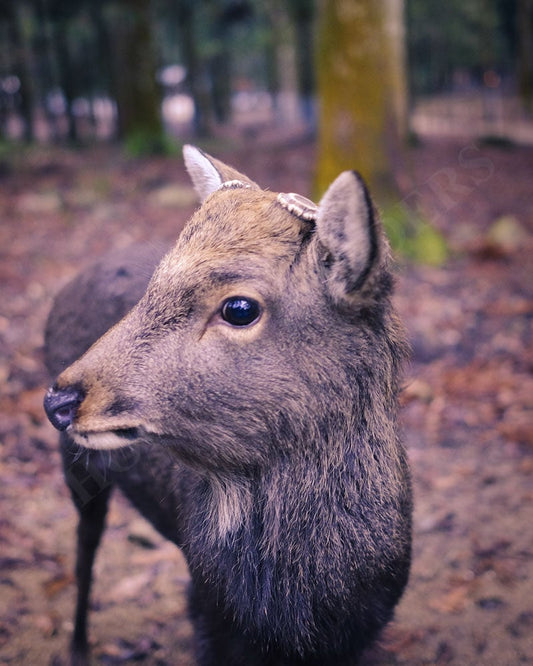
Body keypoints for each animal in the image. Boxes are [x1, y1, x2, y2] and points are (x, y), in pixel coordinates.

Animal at [45, 147, 412, 664]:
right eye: (151, 289)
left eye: (239, 308)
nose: (58, 399)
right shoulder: (206, 610)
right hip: (78, 469)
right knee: (85, 547)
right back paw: (78, 646)